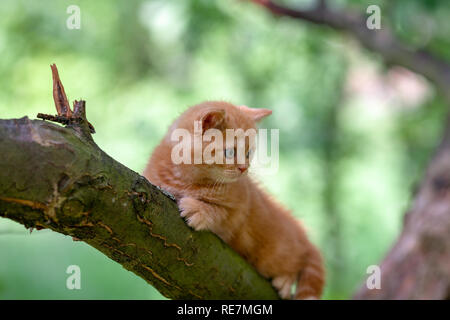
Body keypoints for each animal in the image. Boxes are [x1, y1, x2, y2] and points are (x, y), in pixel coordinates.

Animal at [146, 101, 326, 298]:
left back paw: (285, 282)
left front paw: (199, 210)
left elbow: (221, 213)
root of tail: (303, 235)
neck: (186, 180)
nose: (244, 168)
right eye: (230, 152)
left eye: (249, 153)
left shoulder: (237, 213)